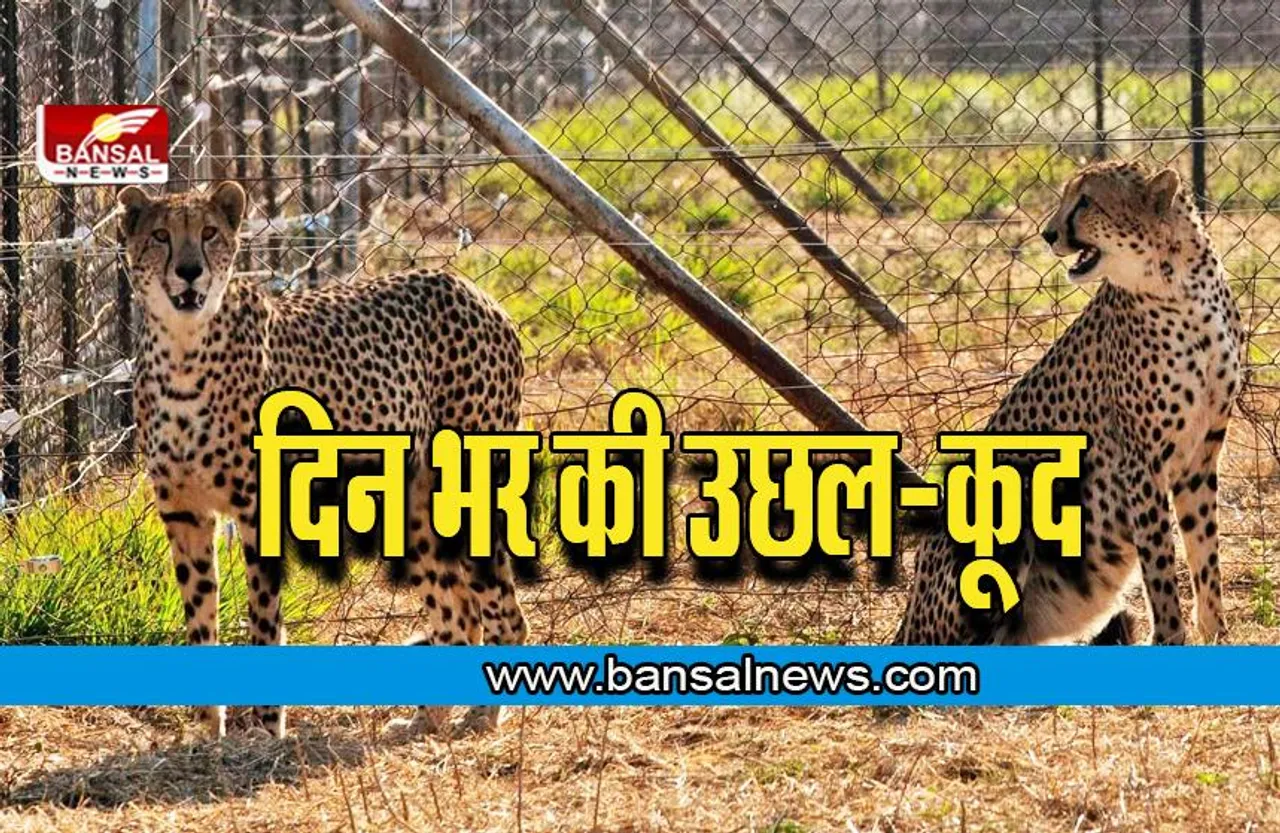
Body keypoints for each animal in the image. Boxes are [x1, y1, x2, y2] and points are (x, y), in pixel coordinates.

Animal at [118, 181, 528, 739]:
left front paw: (266, 731)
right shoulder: (184, 514)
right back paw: (426, 720)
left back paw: (483, 718)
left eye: (209, 233)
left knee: (505, 615)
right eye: (161, 235)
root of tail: (468, 287)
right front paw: (206, 736)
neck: (183, 350)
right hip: (415, 505)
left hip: (464, 488)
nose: (188, 270)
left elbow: (263, 620)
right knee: (458, 614)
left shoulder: (258, 510)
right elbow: (200, 619)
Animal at [894, 159, 1244, 646]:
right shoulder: (1139, 462)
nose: (1048, 234)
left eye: (1086, 202)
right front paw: (1171, 639)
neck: (1181, 287)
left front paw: (1216, 634)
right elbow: (1160, 567)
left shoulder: (1201, 454)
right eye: (1065, 197)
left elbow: (1204, 551)